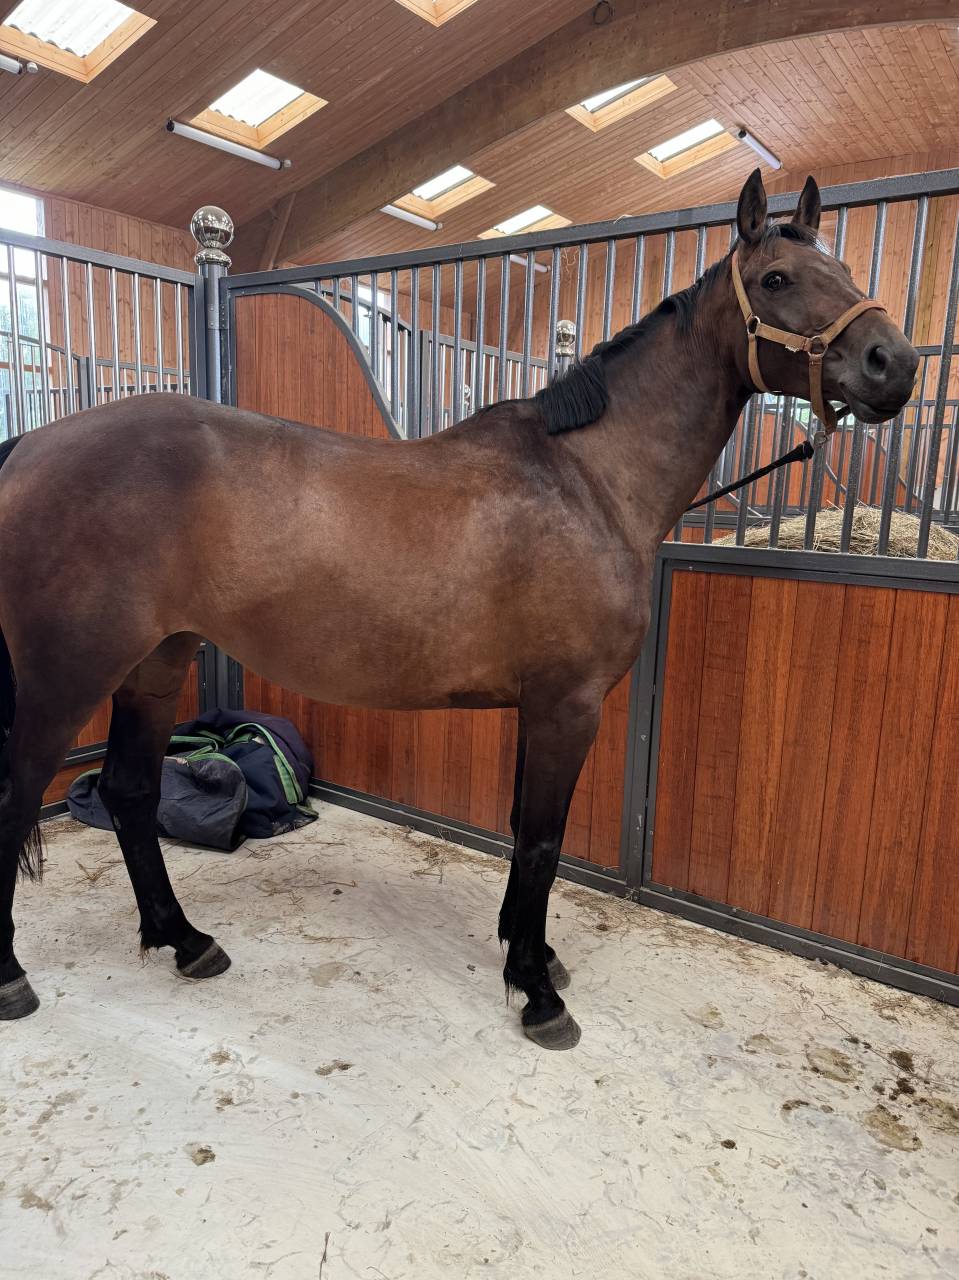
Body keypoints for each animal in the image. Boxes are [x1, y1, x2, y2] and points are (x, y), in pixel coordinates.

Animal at [0, 171, 918, 1048]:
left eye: (844, 269)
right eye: (775, 279)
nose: (894, 364)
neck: (587, 481)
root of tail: (32, 446)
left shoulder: (539, 706)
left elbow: (521, 831)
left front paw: (527, 952)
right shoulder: (568, 704)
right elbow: (542, 839)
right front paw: (538, 994)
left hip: (155, 667)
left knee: (129, 794)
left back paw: (186, 940)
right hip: (65, 679)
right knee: (20, 791)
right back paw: (14, 980)